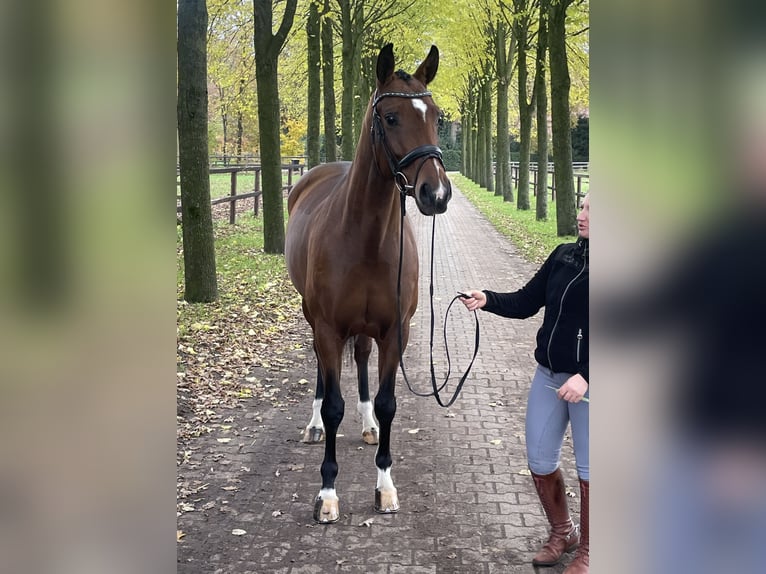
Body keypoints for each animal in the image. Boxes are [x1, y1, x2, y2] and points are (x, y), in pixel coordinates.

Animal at [284, 42, 452, 524]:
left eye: (436, 116)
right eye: (391, 117)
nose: (437, 194)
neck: (366, 237)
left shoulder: (397, 330)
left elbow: (388, 402)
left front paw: (385, 487)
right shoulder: (327, 327)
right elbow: (333, 401)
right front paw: (327, 493)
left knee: (359, 359)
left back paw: (368, 425)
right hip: (312, 318)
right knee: (323, 372)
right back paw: (314, 424)